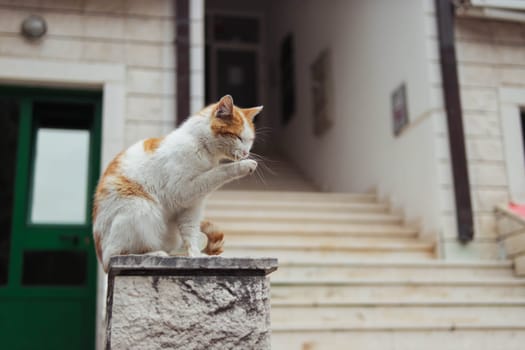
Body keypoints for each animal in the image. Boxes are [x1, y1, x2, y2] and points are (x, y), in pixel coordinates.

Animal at [93, 95, 262, 274]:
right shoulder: (181, 190)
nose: (246, 153)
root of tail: (102, 259)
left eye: (250, 140)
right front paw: (244, 166)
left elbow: (190, 232)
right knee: (118, 253)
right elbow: (218, 172)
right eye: (237, 137)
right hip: (140, 207)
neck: (200, 145)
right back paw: (155, 254)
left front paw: (196, 256)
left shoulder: (191, 206)